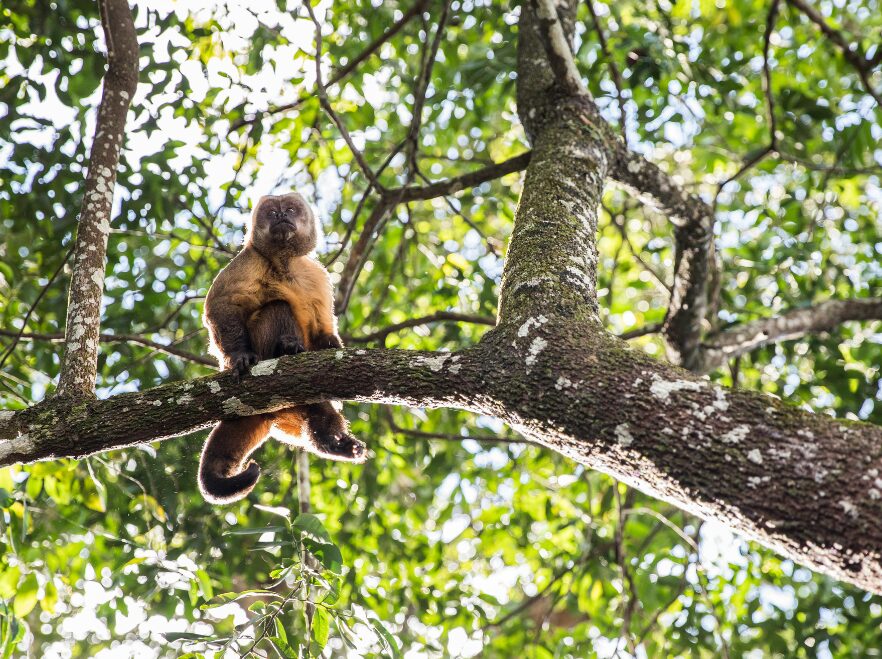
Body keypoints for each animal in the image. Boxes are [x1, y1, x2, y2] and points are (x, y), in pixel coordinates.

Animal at [198, 192, 366, 504]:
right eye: (272, 212)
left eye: (289, 209)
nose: (280, 215)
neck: (283, 262)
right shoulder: (248, 261)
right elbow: (221, 305)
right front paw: (239, 356)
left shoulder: (316, 274)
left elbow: (322, 328)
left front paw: (330, 343)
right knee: (276, 307)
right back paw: (285, 348)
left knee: (318, 405)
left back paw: (331, 443)